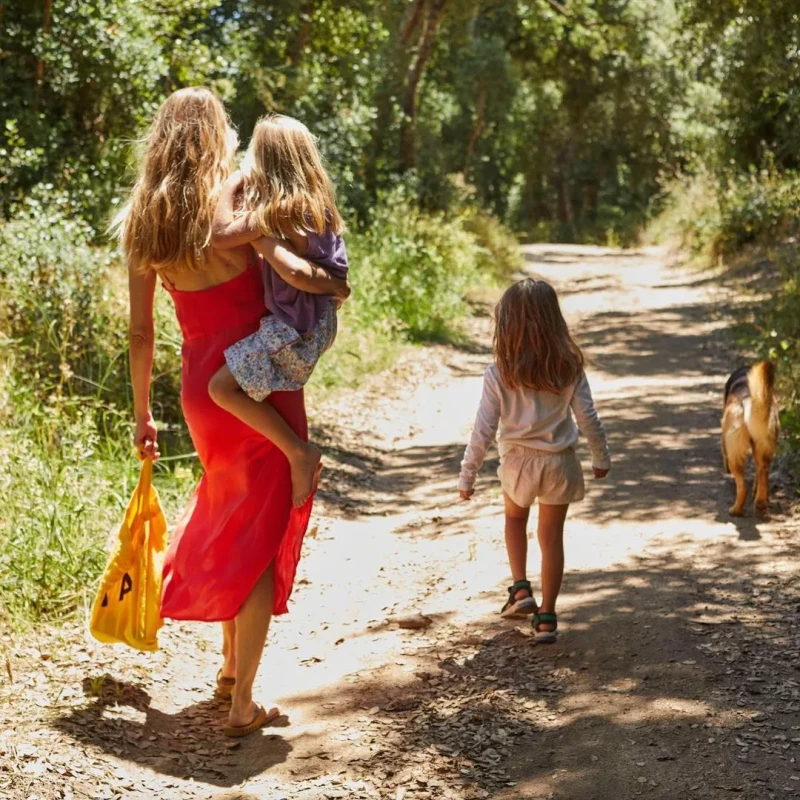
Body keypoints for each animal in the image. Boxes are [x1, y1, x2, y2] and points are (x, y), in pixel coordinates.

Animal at [720, 360, 780, 516]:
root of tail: (748, 399)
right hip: (764, 448)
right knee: (762, 473)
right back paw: (760, 503)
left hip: (735, 454)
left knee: (742, 487)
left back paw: (736, 510)